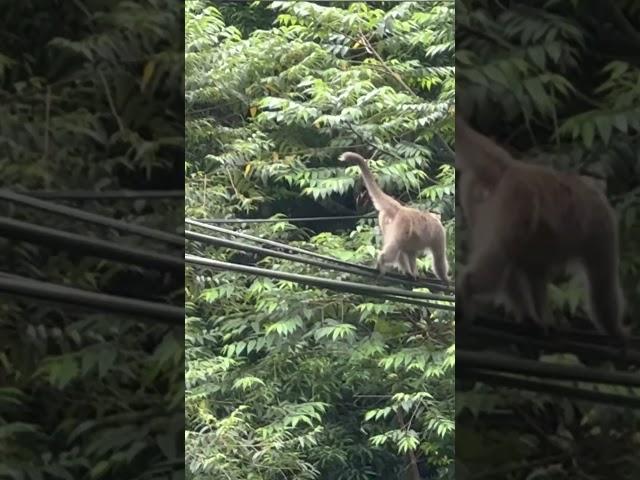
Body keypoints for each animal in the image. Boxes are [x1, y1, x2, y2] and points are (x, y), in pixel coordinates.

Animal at [340, 152, 450, 284]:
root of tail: (400, 209)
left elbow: (411, 253)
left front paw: (414, 272)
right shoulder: (440, 233)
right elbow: (438, 256)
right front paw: (445, 279)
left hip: (386, 222)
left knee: (400, 246)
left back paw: (407, 272)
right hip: (403, 223)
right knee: (396, 245)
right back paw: (382, 260)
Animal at [452, 116, 628, 340]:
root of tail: (512, 168)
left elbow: (536, 272)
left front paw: (542, 317)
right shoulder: (603, 225)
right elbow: (602, 282)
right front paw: (616, 331)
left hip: (479, 199)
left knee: (507, 254)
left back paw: (527, 317)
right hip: (517, 199)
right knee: (503, 252)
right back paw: (467, 289)